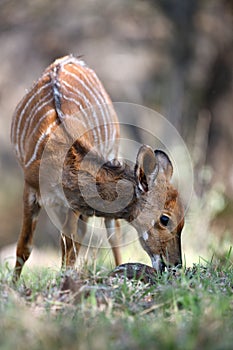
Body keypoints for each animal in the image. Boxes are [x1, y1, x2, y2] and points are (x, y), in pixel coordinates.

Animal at [10, 54, 184, 282]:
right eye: (165, 218)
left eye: (183, 221)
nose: (175, 265)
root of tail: (69, 59)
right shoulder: (30, 188)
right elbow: (25, 247)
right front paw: (13, 285)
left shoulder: (72, 205)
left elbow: (70, 250)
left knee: (111, 234)